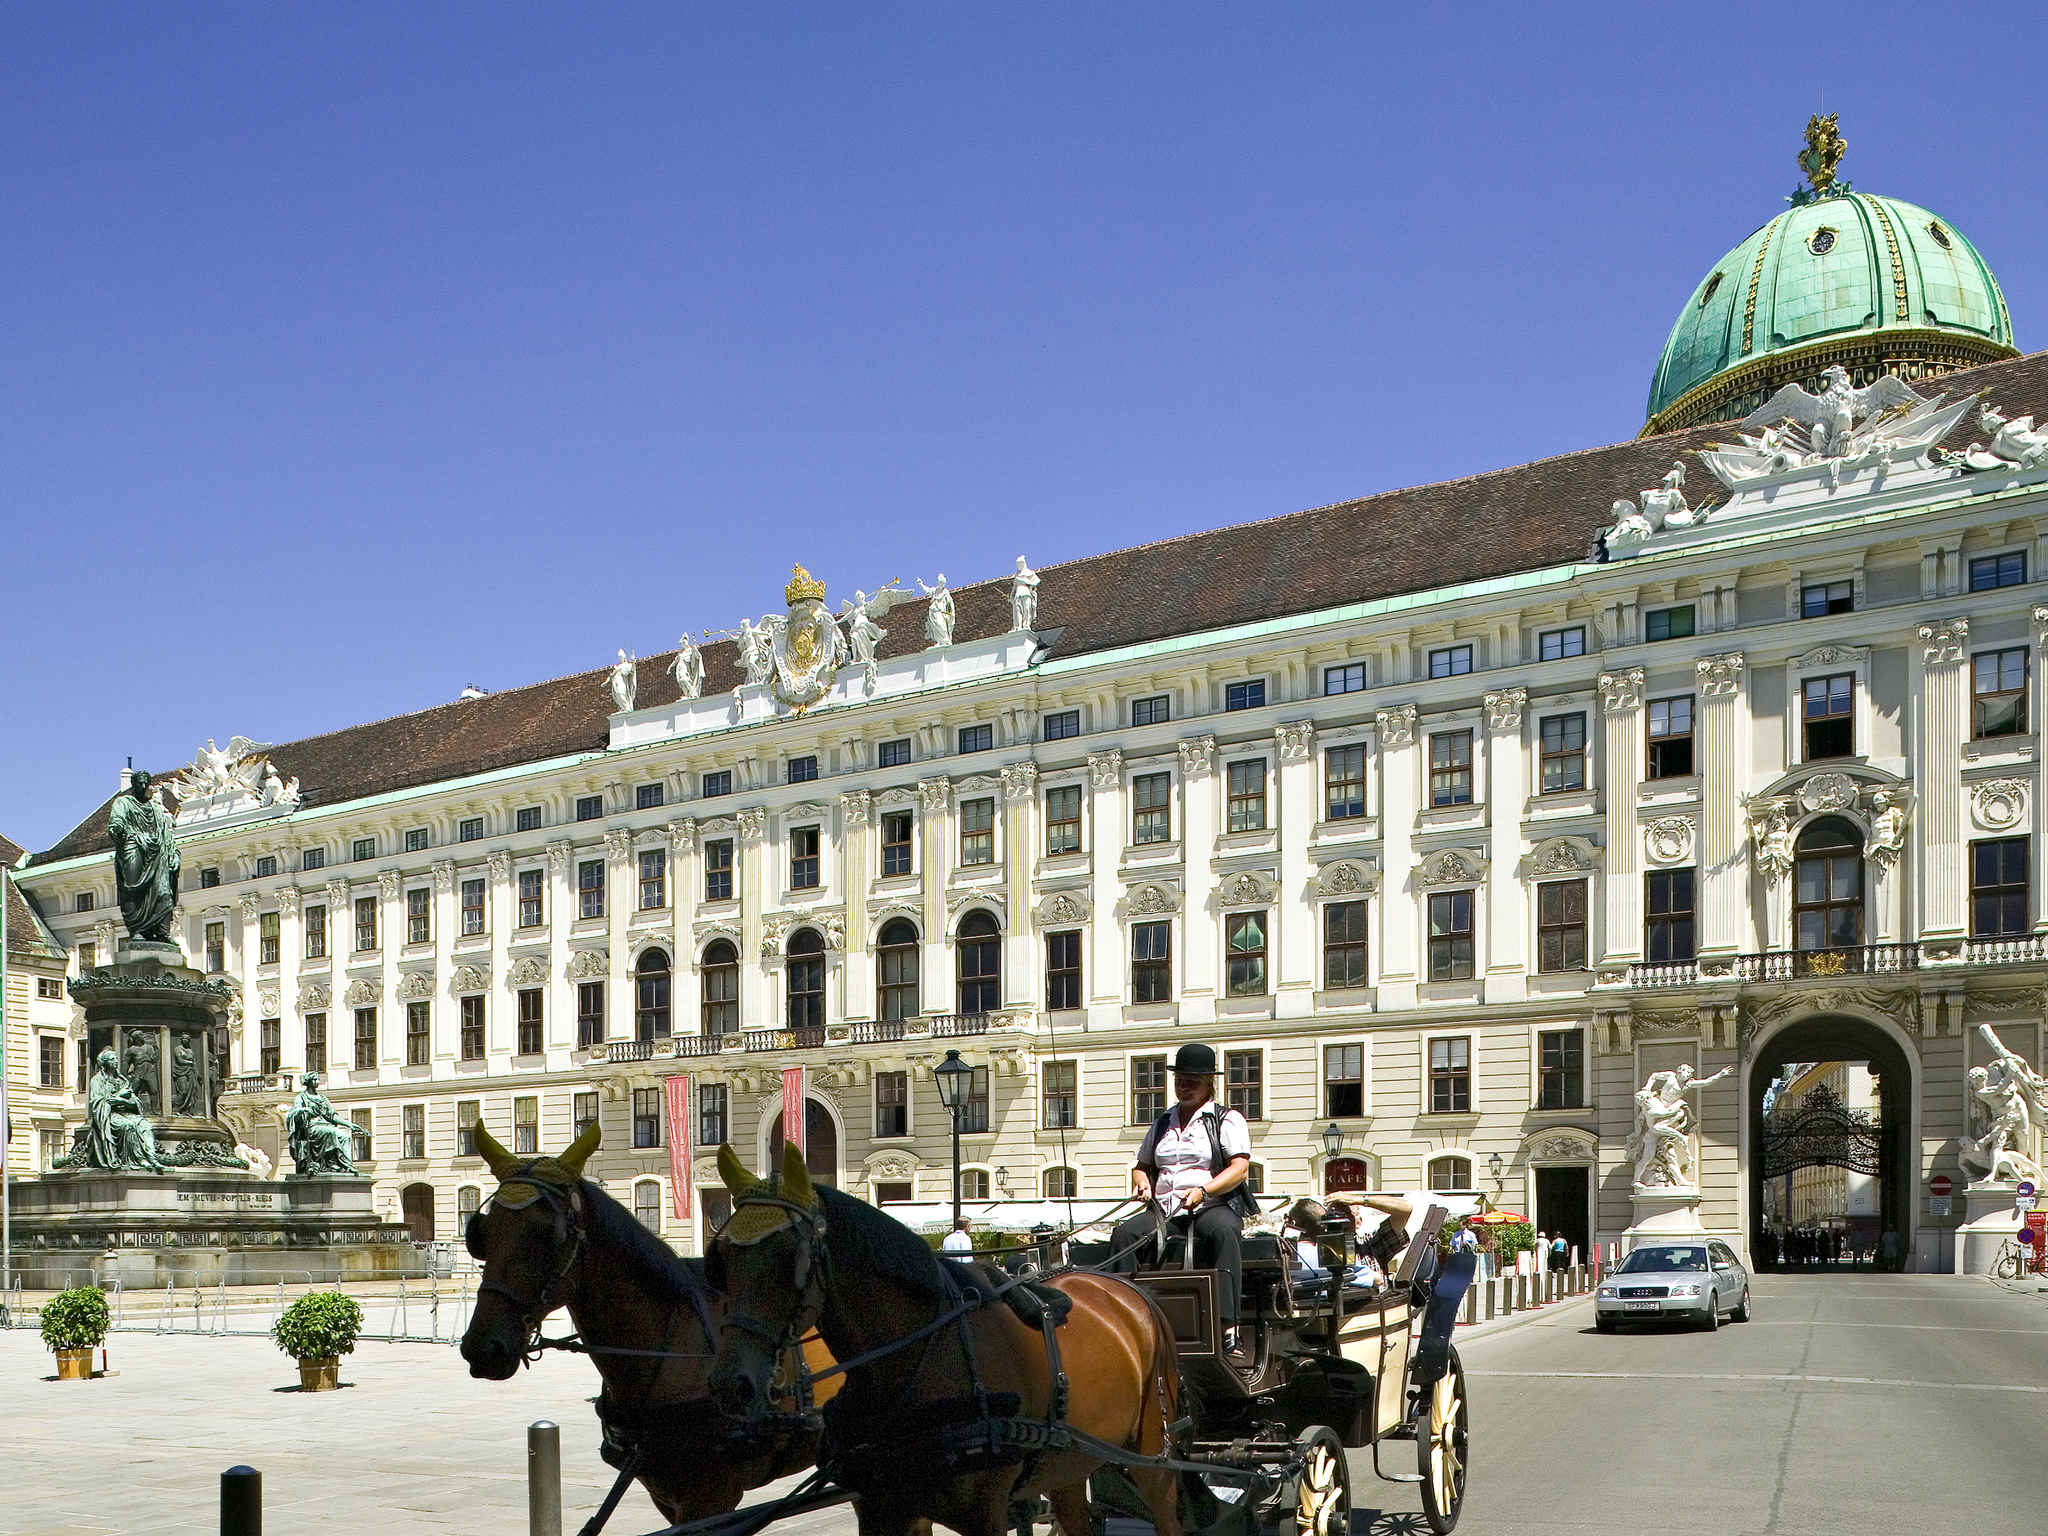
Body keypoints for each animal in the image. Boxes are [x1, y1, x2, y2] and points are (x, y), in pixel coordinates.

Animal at [460, 1122, 835, 1531]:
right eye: (482, 1232)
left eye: (549, 1234)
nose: (483, 1346)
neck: (672, 1345)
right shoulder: (666, 1494)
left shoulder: (710, 1498)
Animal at [708, 1146, 1179, 1536]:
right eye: (723, 1258)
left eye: (791, 1257)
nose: (731, 1385)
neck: (913, 1366)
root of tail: (1127, 1287)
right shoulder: (883, 1510)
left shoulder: (984, 1517)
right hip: (1069, 1462)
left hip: (1154, 1454)